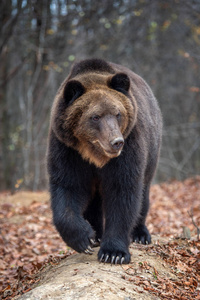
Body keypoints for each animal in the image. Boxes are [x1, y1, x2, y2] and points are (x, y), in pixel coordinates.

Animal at [47, 57, 162, 264]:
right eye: (95, 116)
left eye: (118, 113)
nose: (116, 142)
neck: (95, 155)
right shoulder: (67, 150)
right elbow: (67, 187)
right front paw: (85, 238)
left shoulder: (128, 148)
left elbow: (123, 191)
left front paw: (114, 252)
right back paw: (97, 234)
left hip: (152, 149)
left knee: (144, 191)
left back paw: (140, 234)